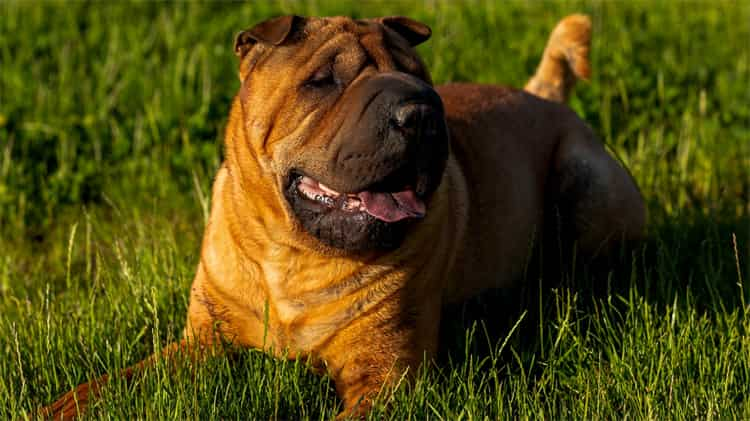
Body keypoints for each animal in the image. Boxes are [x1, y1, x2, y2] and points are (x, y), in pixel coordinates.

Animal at [41, 12, 648, 416]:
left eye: (421, 77)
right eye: (324, 80)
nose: (420, 111)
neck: (292, 254)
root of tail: (544, 97)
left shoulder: (384, 376)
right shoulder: (202, 342)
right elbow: (110, 384)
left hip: (588, 184)